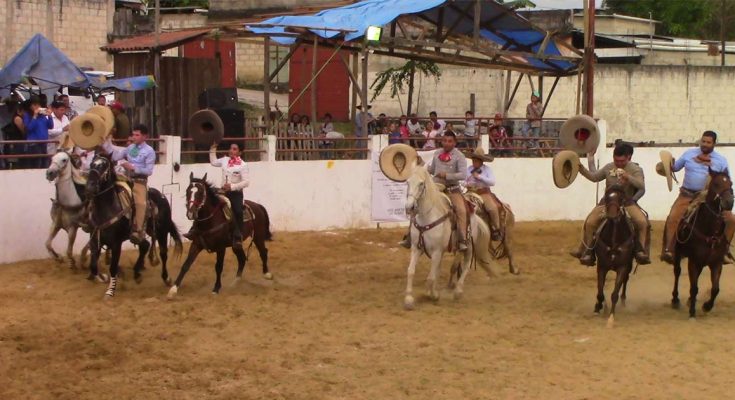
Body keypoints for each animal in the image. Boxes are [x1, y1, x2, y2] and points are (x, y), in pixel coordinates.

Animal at [85, 153, 183, 296]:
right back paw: (137, 273)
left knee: (163, 253)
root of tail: (162, 196)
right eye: (92, 164)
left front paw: (110, 291)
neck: (107, 208)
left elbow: (113, 267)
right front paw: (103, 277)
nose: (90, 187)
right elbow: (93, 266)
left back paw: (167, 278)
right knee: (145, 246)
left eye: (104, 166)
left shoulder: (116, 244)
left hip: (162, 231)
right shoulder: (95, 240)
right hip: (141, 232)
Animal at [402, 164, 494, 310]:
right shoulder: (417, 248)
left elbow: (431, 277)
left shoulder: (436, 251)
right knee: (452, 265)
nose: (409, 207)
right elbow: (411, 271)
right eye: (407, 182)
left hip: (469, 245)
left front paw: (434, 295)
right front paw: (409, 299)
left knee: (466, 264)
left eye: (421, 184)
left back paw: (458, 291)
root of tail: (473, 211)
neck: (427, 217)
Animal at [592, 186, 640, 326]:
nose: (612, 214)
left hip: (628, 266)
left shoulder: (622, 267)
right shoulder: (602, 266)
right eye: (607, 197)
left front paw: (611, 318)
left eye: (621, 198)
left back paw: (623, 301)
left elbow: (614, 294)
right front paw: (599, 307)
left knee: (625, 281)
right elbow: (600, 291)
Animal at [668, 169, 732, 318]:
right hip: (678, 253)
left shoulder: (716, 263)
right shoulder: (693, 262)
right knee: (677, 272)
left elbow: (715, 288)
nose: (729, 201)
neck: (710, 232)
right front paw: (692, 312)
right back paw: (675, 300)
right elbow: (694, 287)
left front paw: (706, 306)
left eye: (731, 183)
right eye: (716, 184)